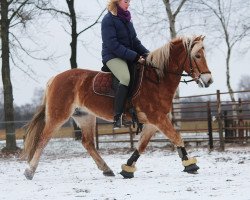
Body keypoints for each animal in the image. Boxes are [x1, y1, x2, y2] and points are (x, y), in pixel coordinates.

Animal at [21, 35, 213, 180]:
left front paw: (127, 169)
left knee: (87, 142)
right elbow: (177, 137)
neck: (156, 80)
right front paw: (190, 165)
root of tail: (55, 78)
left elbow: (142, 145)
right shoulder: (157, 118)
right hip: (58, 115)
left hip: (84, 116)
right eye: (197, 56)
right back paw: (29, 171)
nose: (209, 80)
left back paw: (106, 169)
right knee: (43, 139)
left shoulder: (154, 122)